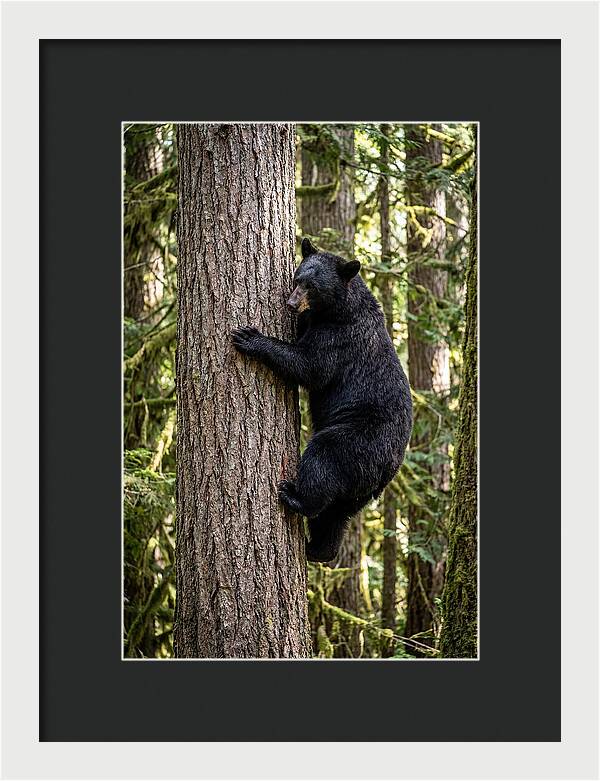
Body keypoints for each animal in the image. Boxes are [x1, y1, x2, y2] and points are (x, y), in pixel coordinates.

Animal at [232, 237, 413, 562]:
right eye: (297, 278)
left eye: (313, 287)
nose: (291, 303)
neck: (339, 310)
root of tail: (389, 469)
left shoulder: (339, 339)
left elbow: (309, 365)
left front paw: (251, 337)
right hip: (360, 488)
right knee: (336, 514)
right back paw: (319, 549)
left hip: (357, 440)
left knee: (323, 460)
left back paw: (294, 497)